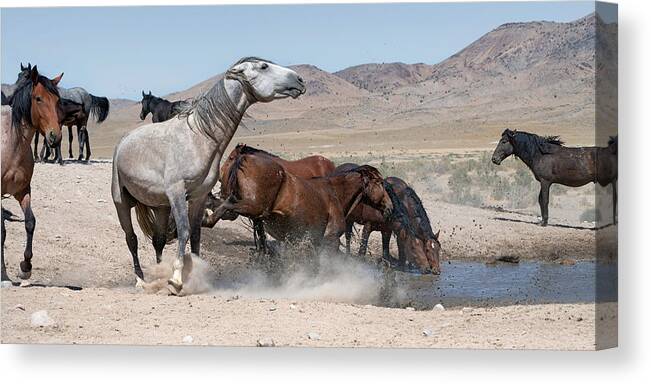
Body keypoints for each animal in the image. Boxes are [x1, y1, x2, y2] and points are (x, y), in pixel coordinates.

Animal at [1, 65, 63, 282]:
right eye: (38, 98)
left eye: (58, 100)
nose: (55, 136)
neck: (14, 144)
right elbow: (2, 231)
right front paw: (3, 274)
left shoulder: (22, 191)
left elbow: (30, 223)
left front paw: (25, 267)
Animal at [111, 57, 306, 294]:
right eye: (263, 66)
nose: (300, 80)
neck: (199, 137)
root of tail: (124, 142)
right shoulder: (177, 193)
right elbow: (184, 231)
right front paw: (176, 280)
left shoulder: (199, 196)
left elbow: (195, 234)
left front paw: (194, 274)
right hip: (121, 201)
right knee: (131, 239)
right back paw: (140, 280)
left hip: (160, 207)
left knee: (158, 240)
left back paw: (158, 273)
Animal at [206, 153, 394, 258]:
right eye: (380, 182)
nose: (390, 207)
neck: (335, 193)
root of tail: (244, 159)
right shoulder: (330, 240)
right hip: (254, 207)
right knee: (227, 205)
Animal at [492, 129, 620, 225]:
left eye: (504, 141)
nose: (494, 159)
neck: (541, 154)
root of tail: (612, 149)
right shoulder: (543, 182)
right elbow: (540, 200)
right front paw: (542, 221)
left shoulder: (545, 182)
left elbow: (544, 200)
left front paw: (544, 222)